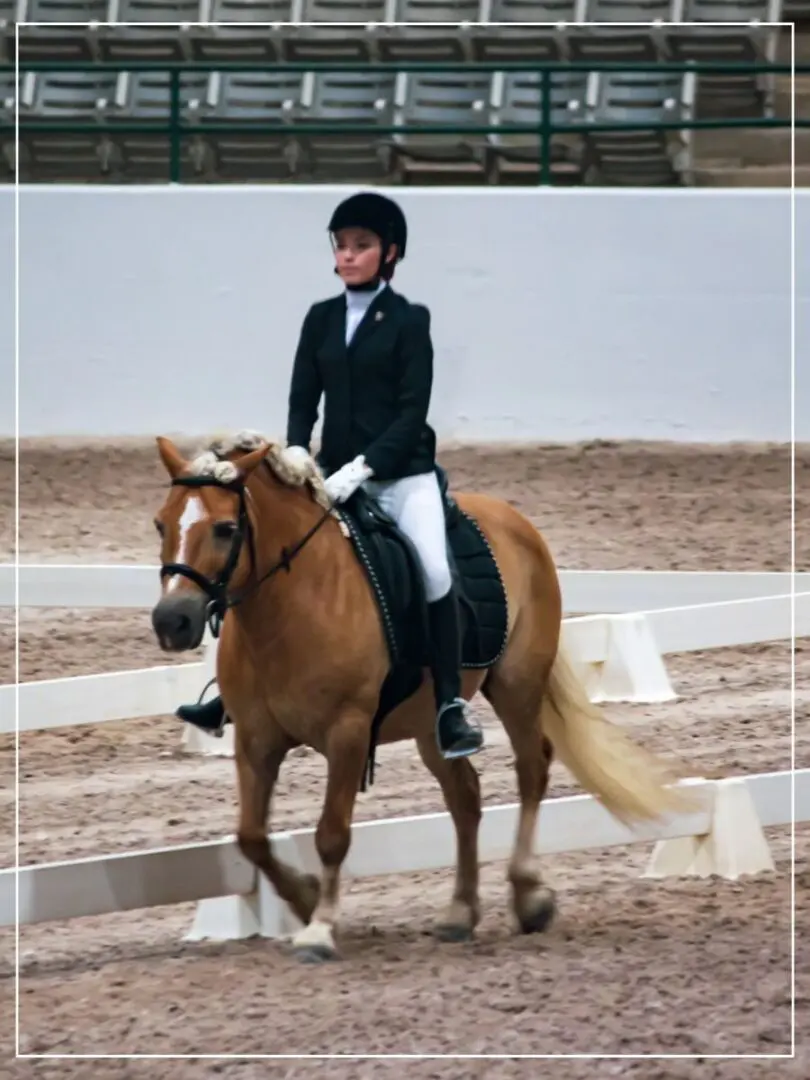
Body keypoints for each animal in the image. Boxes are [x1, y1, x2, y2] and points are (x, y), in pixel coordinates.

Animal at [151, 429, 691, 963]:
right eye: (161, 524)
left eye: (225, 528)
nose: (171, 622)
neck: (290, 608)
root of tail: (512, 519)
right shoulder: (255, 740)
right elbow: (251, 837)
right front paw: (304, 899)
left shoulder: (347, 733)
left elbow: (331, 833)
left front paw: (320, 928)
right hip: (431, 727)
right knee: (465, 796)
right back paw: (460, 911)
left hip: (516, 684)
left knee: (531, 768)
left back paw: (529, 895)